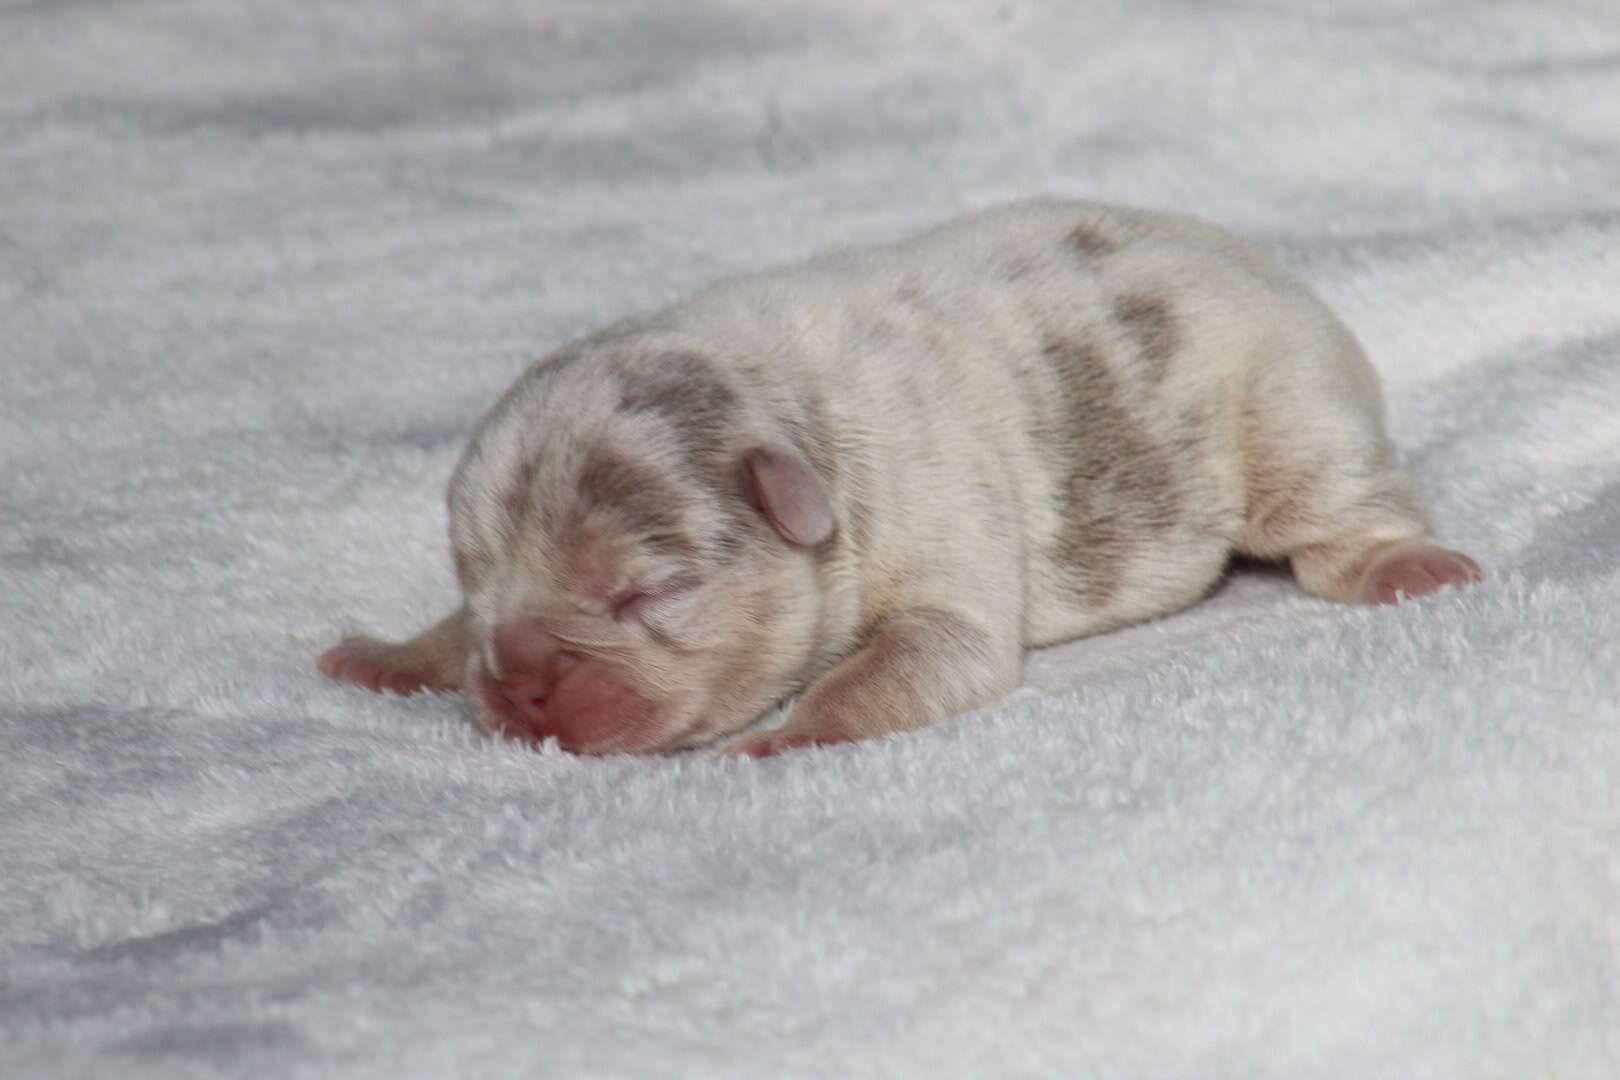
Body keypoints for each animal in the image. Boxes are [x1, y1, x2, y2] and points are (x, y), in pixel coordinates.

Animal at [315, 198, 1483, 757]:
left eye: (643, 594)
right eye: (477, 587)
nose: (518, 679)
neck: (793, 410)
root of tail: (1271, 269)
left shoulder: (939, 538)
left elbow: (902, 665)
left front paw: (785, 737)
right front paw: (395, 654)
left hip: (1288, 409)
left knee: (1341, 510)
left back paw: (1408, 566)